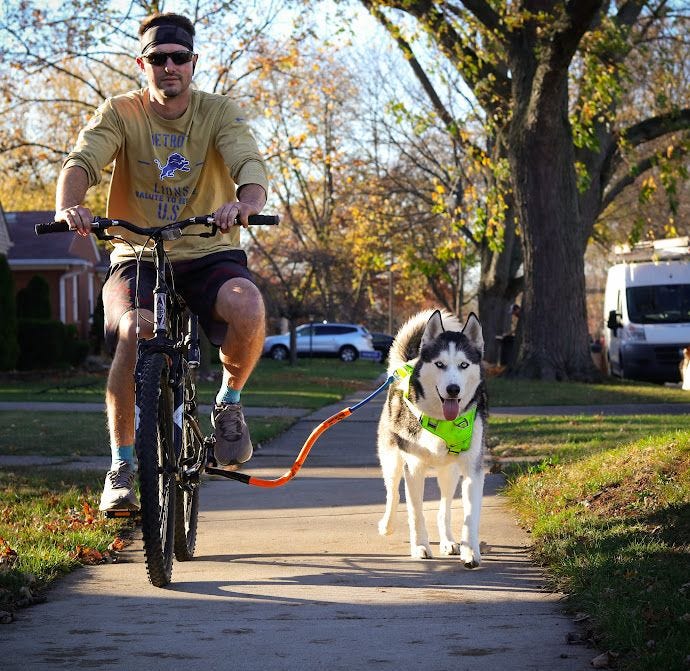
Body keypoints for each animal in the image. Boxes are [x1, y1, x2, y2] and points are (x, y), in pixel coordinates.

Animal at [376, 310, 484, 568]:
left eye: (464, 365)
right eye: (440, 364)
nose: (453, 389)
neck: (443, 422)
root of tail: (405, 364)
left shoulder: (473, 470)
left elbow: (470, 515)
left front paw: (470, 552)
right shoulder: (414, 468)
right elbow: (416, 513)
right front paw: (420, 547)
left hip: (449, 472)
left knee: (444, 507)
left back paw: (448, 541)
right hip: (391, 459)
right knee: (393, 493)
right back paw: (387, 525)